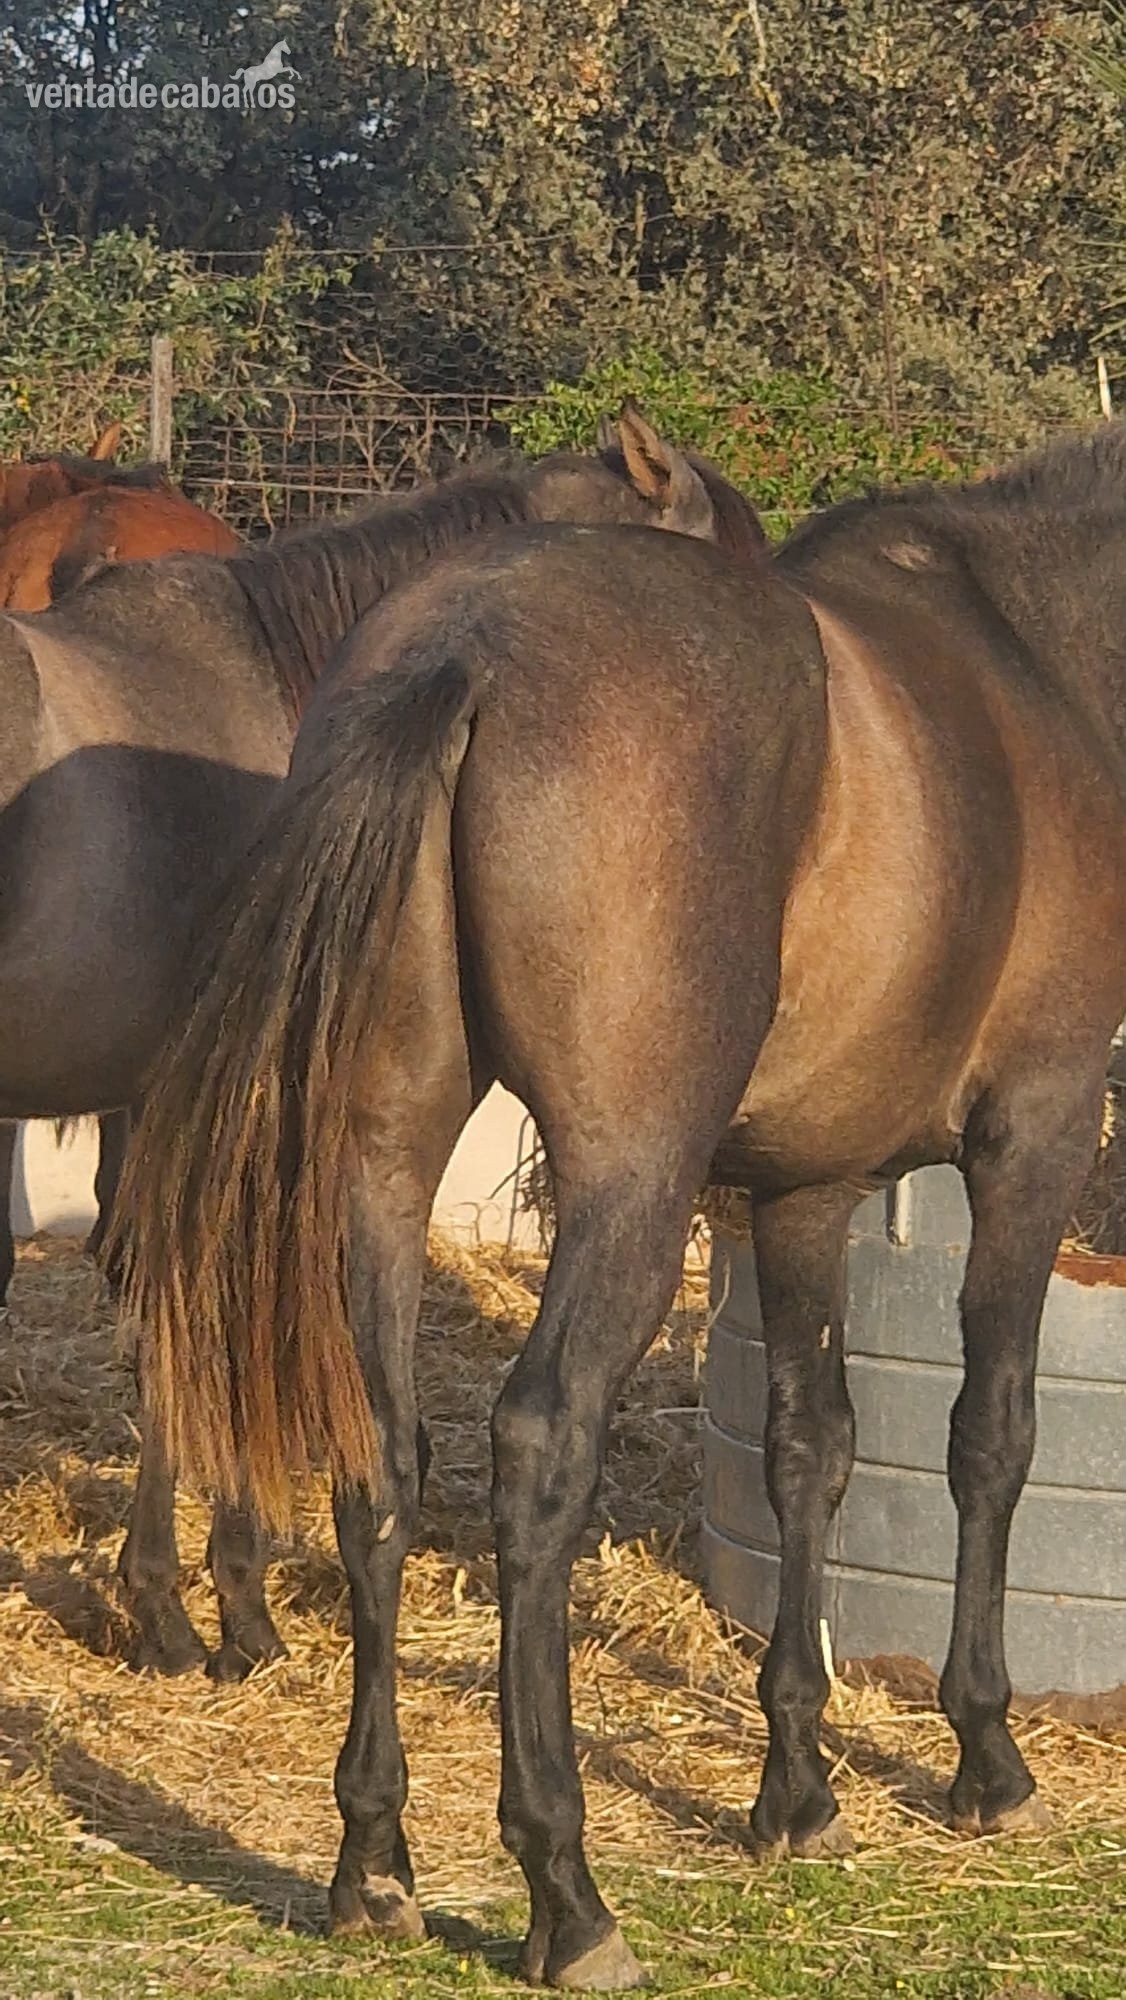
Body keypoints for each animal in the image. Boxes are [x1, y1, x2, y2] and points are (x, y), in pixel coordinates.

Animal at [114, 424, 1126, 1987]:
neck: (1036, 656)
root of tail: (468, 642)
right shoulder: (1035, 1130)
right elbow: (987, 1439)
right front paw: (982, 1755)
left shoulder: (801, 1192)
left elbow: (810, 1452)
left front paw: (795, 1789)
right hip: (628, 1186)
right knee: (538, 1445)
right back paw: (565, 1890)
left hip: (382, 1166)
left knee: (379, 1458)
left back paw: (373, 1861)